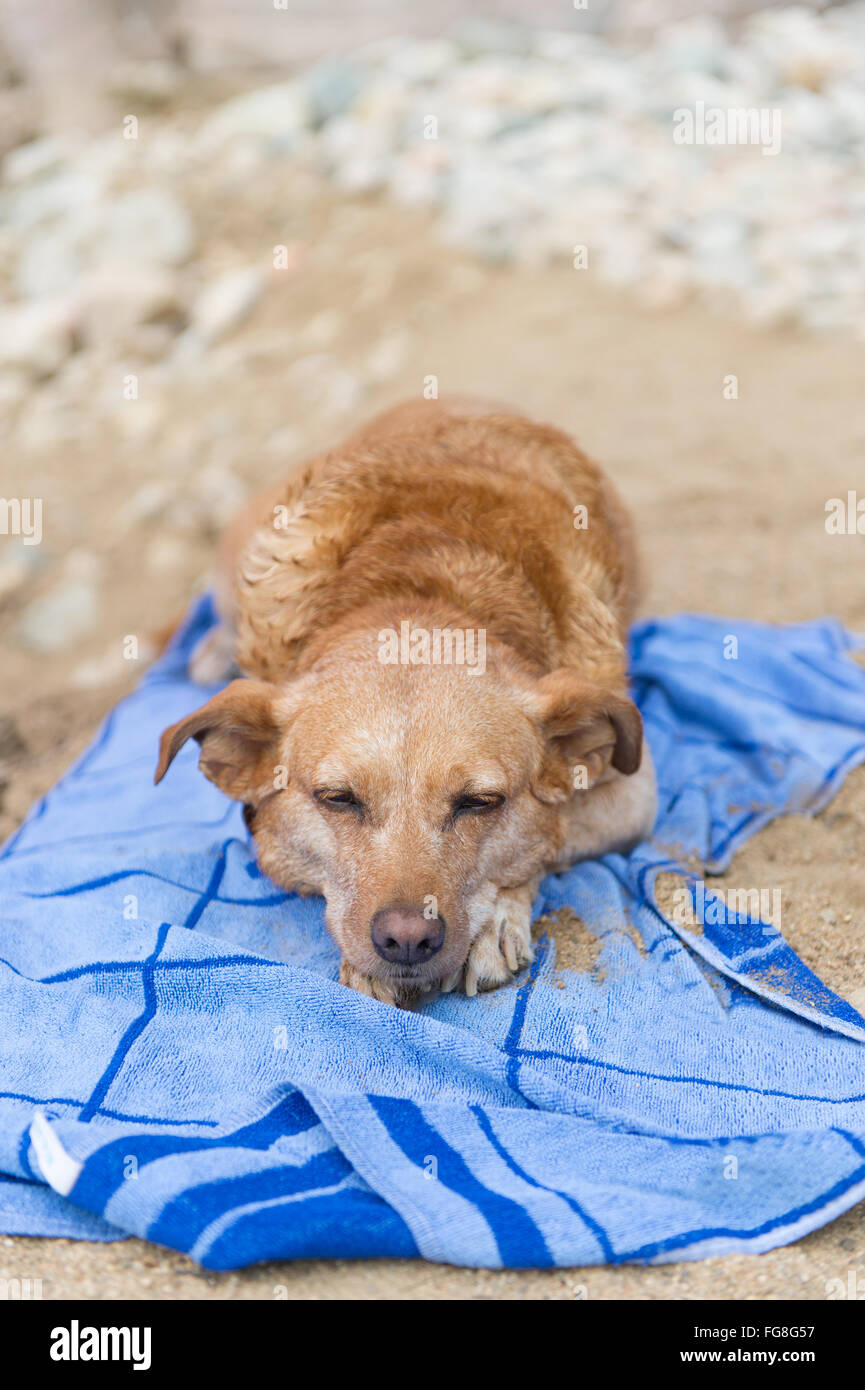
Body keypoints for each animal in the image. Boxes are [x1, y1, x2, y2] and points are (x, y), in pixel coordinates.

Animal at [155, 397, 656, 1006]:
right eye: (338, 799)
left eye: (480, 803)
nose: (408, 940)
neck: (420, 594)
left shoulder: (636, 791)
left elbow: (551, 837)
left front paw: (496, 920)